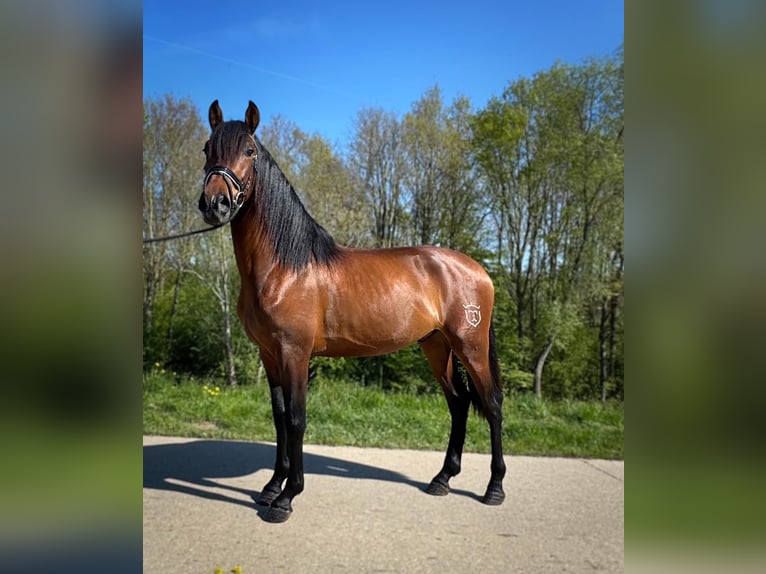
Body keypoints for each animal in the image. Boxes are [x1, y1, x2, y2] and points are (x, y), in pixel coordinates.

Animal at [198, 100, 506, 522]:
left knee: (491, 405)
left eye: (249, 151)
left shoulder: (295, 353)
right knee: (458, 403)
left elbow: (296, 419)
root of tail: (479, 271)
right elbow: (278, 418)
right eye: (206, 149)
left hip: (470, 346)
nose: (215, 204)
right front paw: (271, 486)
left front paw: (287, 497)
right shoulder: (269, 354)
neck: (286, 267)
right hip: (436, 346)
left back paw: (494, 488)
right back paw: (442, 479)